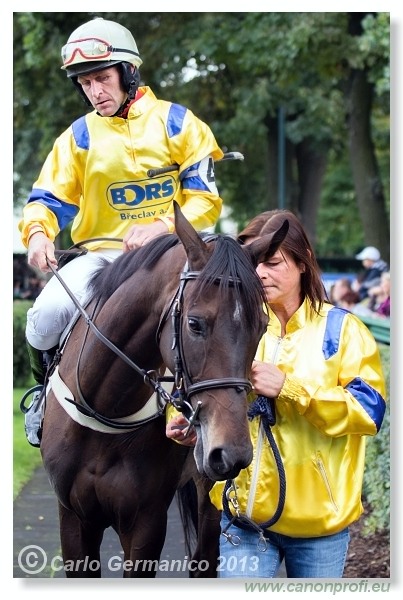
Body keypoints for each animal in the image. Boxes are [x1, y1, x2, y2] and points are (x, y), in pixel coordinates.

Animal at [39, 203, 288, 576]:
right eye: (194, 323)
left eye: (261, 326)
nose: (231, 452)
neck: (103, 408)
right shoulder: (73, 517)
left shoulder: (146, 521)